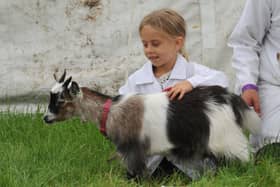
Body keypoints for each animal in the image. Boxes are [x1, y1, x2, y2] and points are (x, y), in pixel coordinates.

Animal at [43, 71, 260, 178]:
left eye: (61, 100)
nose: (45, 118)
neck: (111, 112)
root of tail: (227, 96)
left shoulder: (133, 150)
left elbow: (140, 174)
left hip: (227, 137)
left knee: (247, 155)